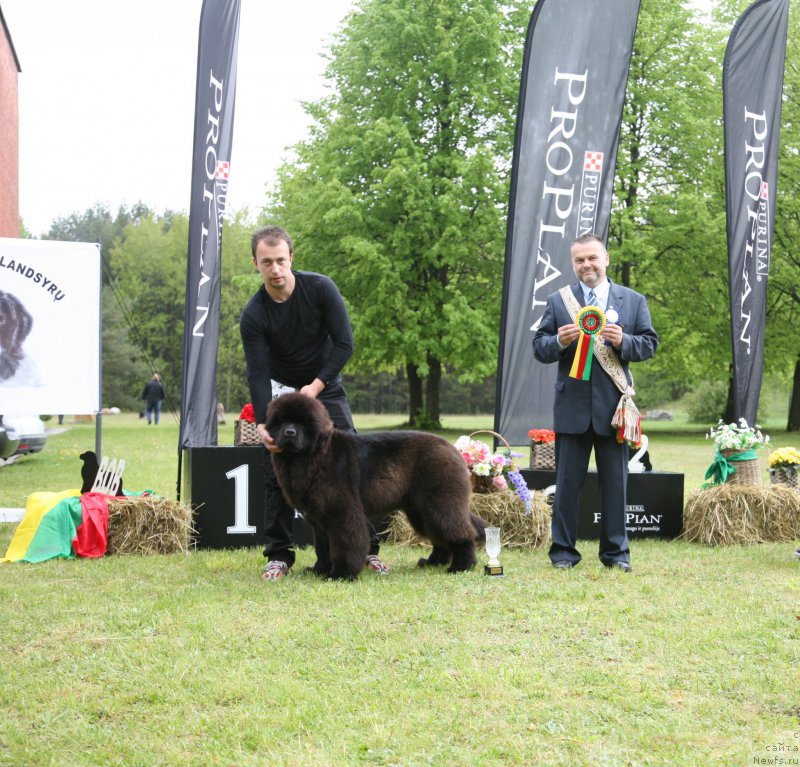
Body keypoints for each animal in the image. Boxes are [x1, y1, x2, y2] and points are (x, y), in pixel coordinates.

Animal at [268, 392, 488, 580]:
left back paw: (461, 566)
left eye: (302, 423)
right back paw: (432, 562)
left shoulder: (341, 511)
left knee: (459, 531)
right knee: (438, 535)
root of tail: (451, 448)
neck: (313, 456)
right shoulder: (319, 516)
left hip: (439, 502)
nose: (289, 432)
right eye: (282, 421)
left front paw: (340, 574)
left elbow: (344, 543)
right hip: (420, 509)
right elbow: (322, 547)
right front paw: (318, 570)